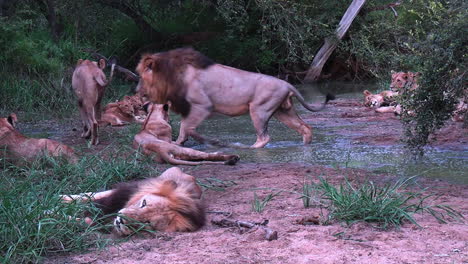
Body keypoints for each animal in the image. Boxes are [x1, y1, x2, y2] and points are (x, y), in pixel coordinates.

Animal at [60, 167, 205, 235]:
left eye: (147, 223)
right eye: (143, 203)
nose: (121, 220)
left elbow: (83, 222)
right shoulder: (119, 194)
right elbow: (87, 196)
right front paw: (59, 199)